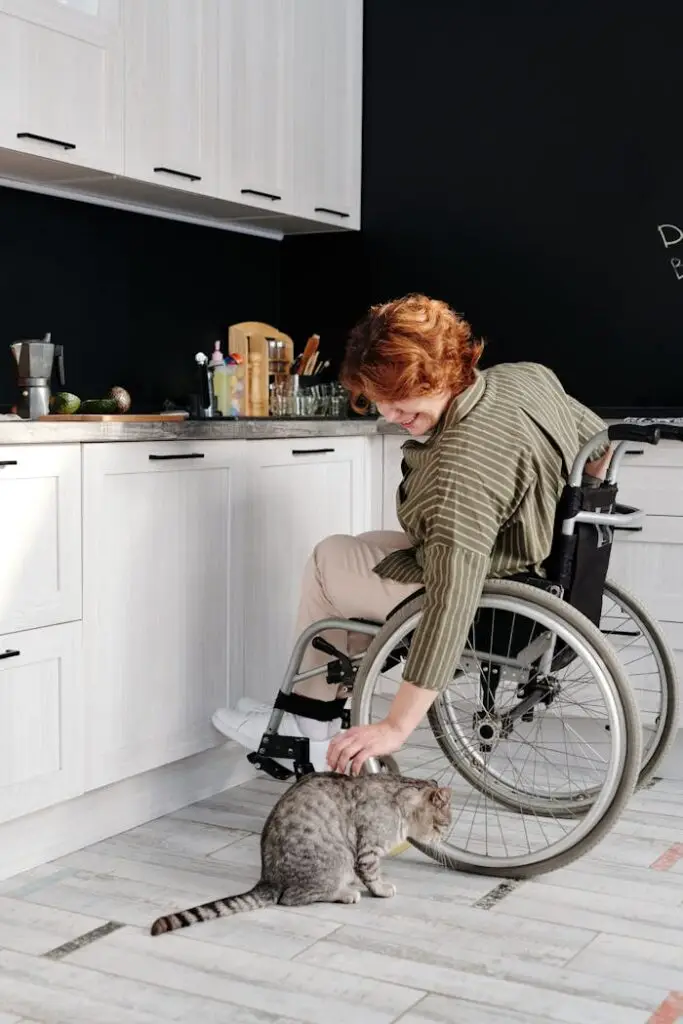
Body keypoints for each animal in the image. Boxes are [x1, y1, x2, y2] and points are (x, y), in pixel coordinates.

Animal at [151, 770, 450, 933]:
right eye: (442, 824)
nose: (442, 838)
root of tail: (268, 880)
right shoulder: (368, 848)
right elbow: (372, 874)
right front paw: (381, 889)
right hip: (335, 859)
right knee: (293, 897)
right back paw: (345, 892)